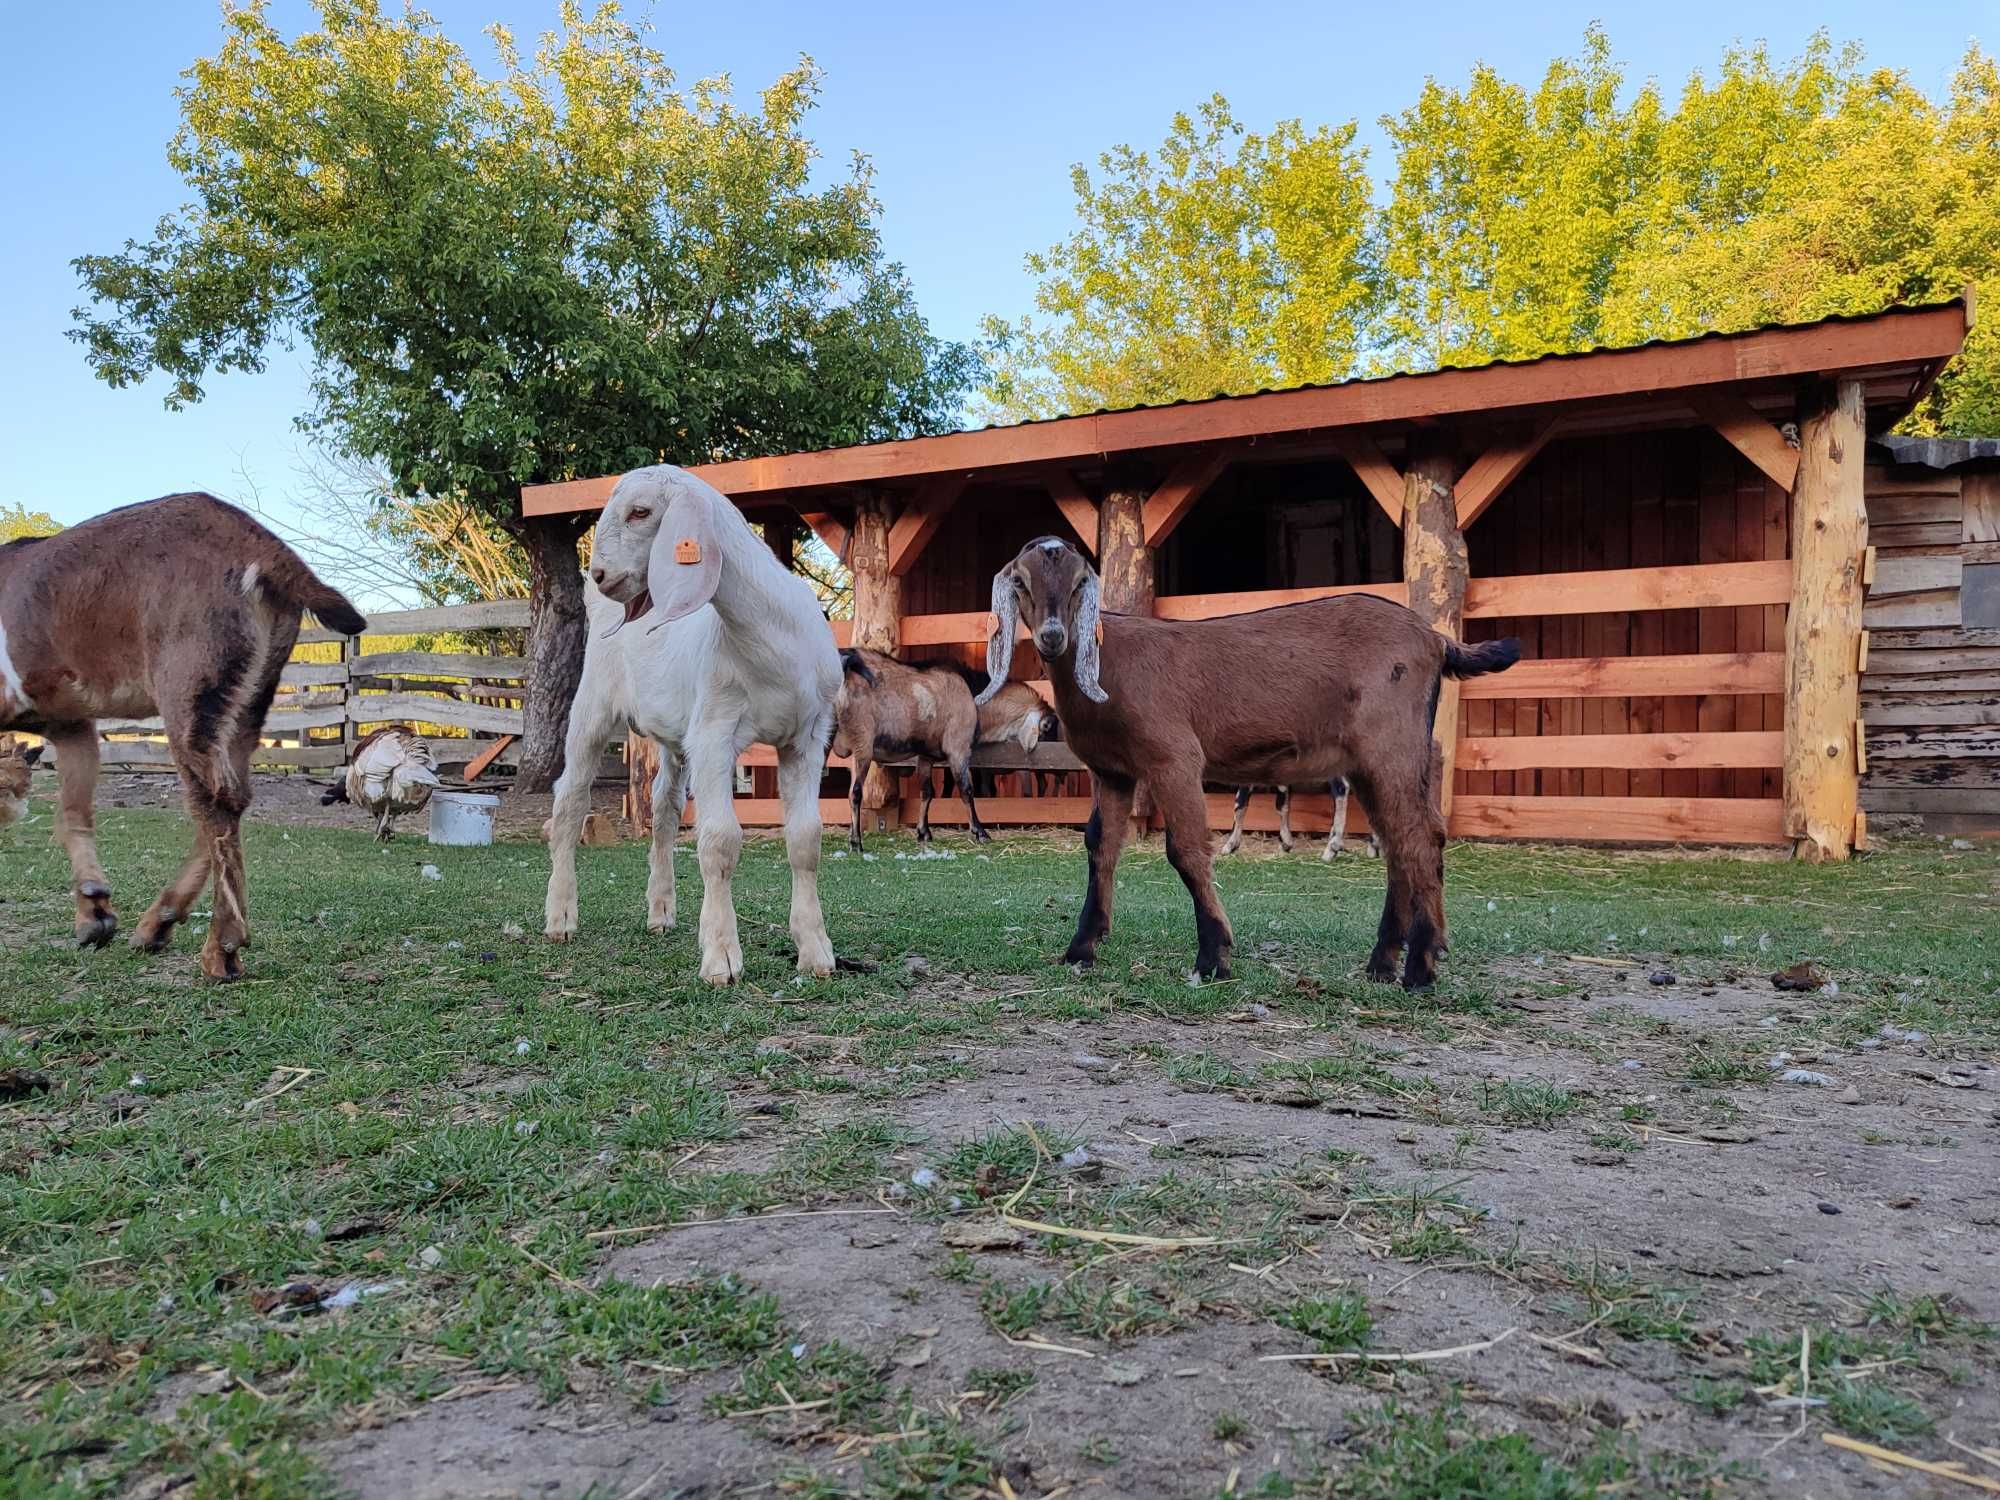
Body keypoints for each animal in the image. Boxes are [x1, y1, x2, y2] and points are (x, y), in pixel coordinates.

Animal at [0, 496, 366, 988]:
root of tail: (269, 552)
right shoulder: (70, 722)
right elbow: (73, 813)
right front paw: (93, 912)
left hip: (188, 686)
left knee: (215, 802)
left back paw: (220, 948)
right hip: (246, 698)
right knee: (232, 797)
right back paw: (158, 923)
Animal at [544, 470, 840, 988]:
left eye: (640, 512)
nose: (599, 575)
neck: (770, 641)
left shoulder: (807, 738)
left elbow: (806, 840)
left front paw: (816, 951)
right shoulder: (714, 733)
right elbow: (720, 840)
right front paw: (721, 957)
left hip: (675, 732)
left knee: (664, 807)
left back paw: (661, 911)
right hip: (593, 705)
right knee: (570, 801)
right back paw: (560, 915)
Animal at [832, 648, 1064, 852]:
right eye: (1048, 728)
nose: (1059, 772)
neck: (973, 696)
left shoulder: (925, 756)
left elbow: (927, 791)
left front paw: (924, 832)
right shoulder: (958, 748)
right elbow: (966, 790)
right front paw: (980, 832)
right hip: (863, 742)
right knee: (855, 792)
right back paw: (856, 842)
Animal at [980, 536, 1512, 988]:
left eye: (1077, 585)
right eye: (1021, 582)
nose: (1052, 636)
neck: (1106, 664)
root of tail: (1436, 639)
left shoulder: (1173, 756)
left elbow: (1186, 849)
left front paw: (1213, 957)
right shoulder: (1112, 771)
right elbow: (1100, 845)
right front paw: (1081, 948)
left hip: (1393, 744)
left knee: (1419, 839)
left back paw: (1420, 968)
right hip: (1371, 762)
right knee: (1402, 842)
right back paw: (1383, 964)